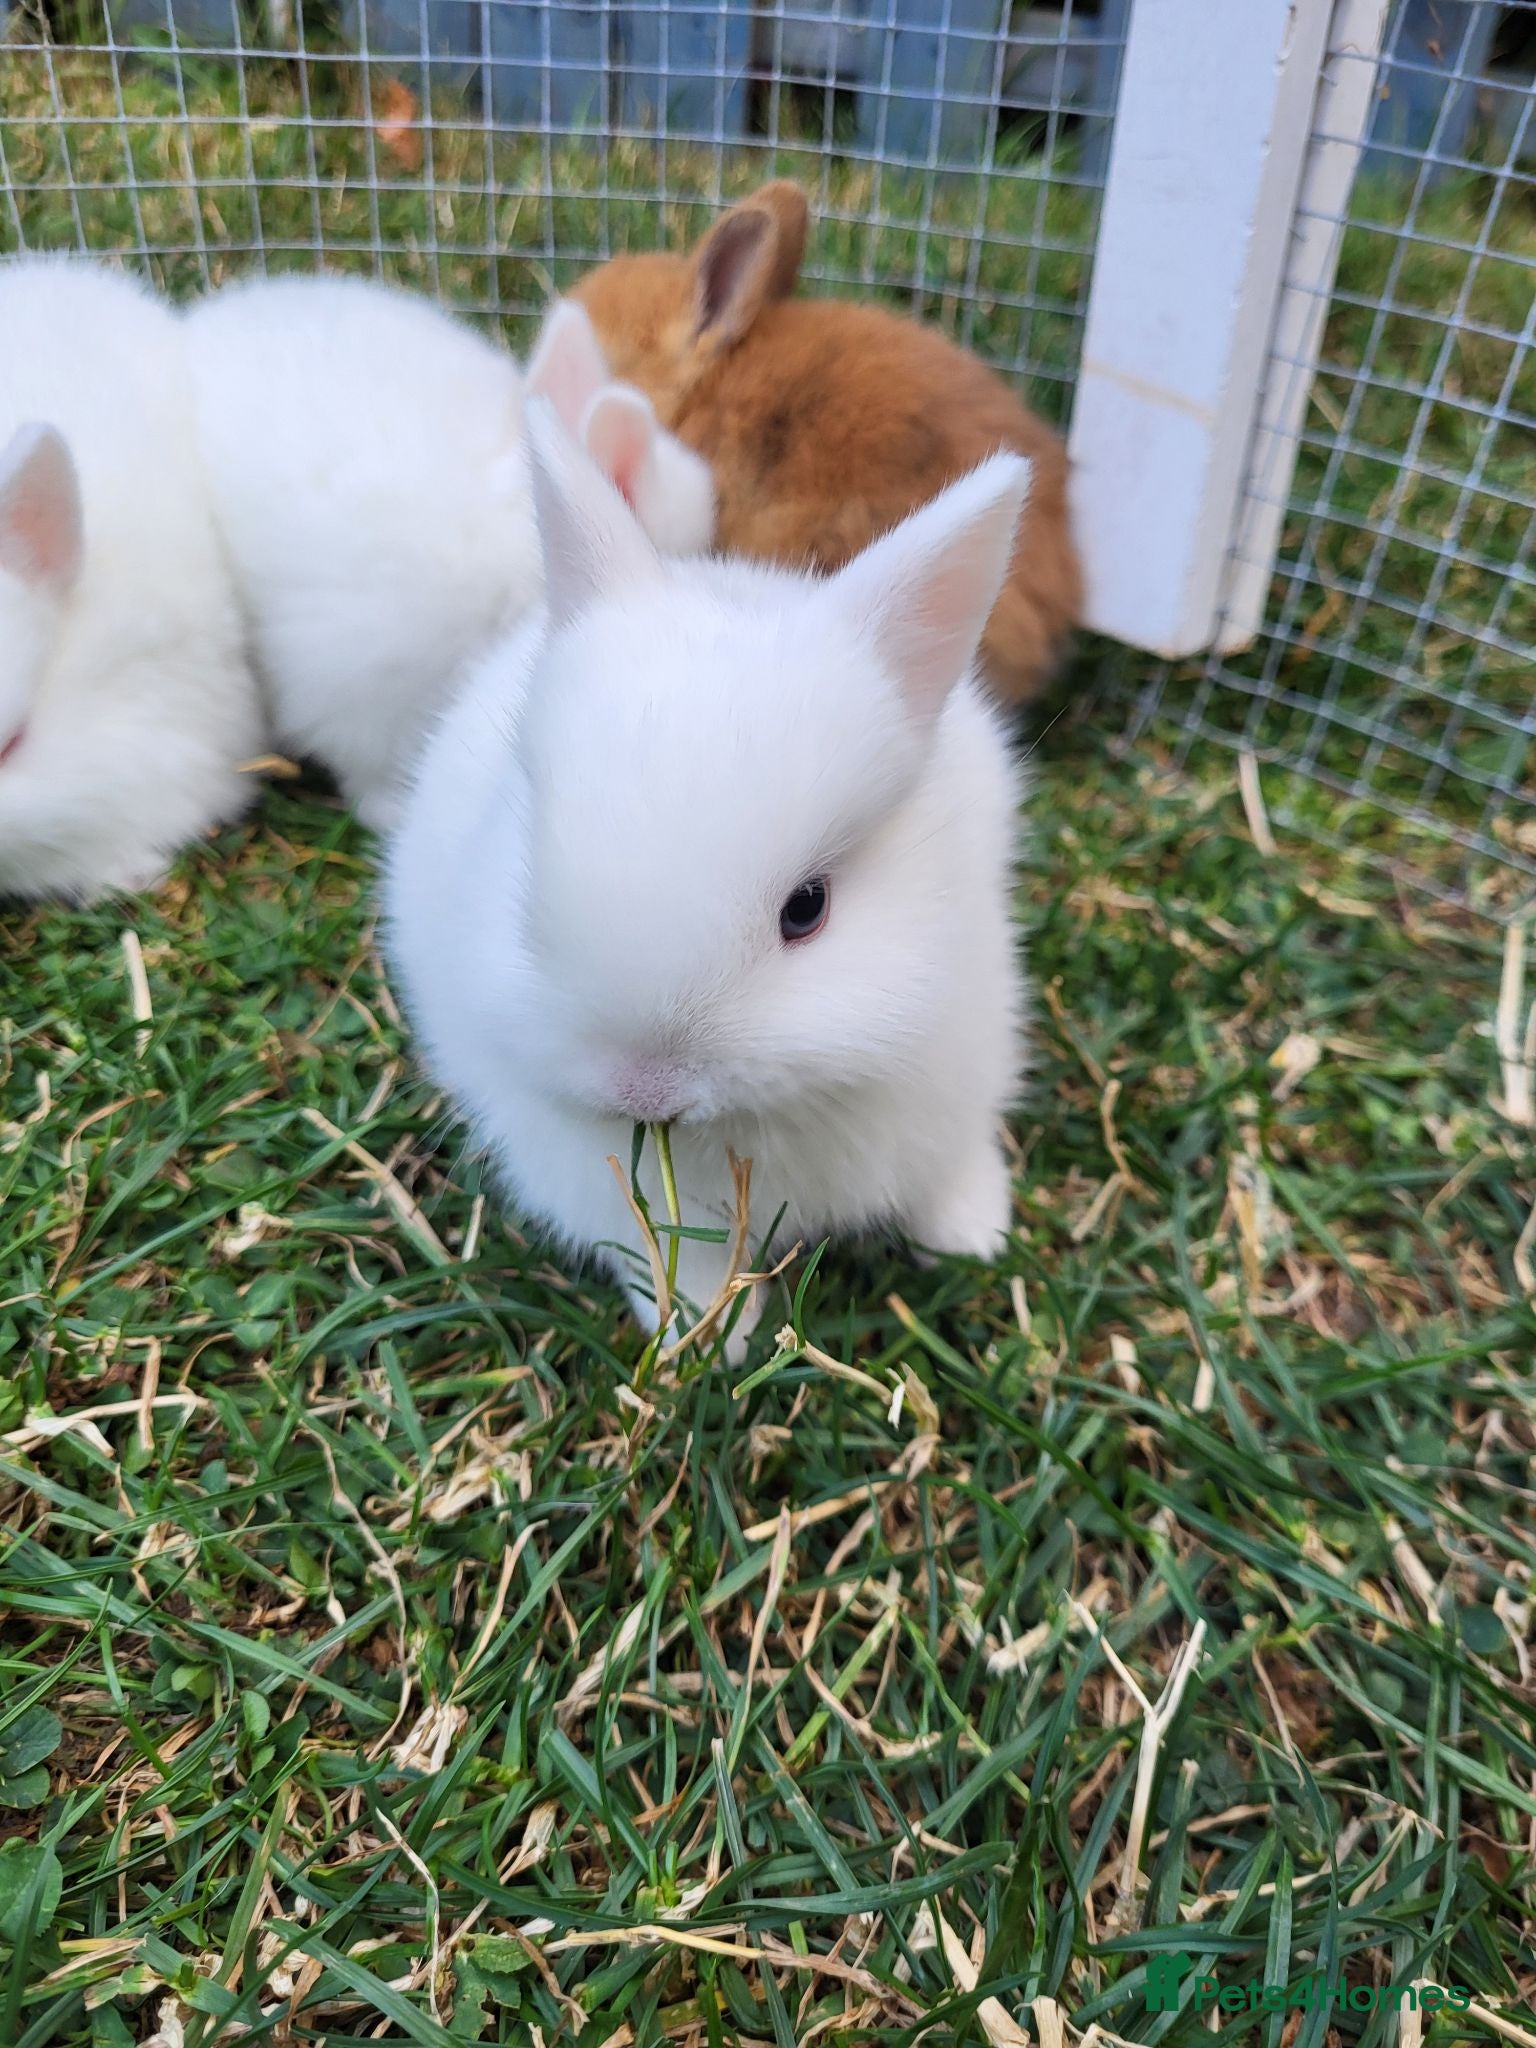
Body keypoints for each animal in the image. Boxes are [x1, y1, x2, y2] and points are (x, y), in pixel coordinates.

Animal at [384, 401, 1031, 1352]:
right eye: (528, 879)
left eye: (808, 909)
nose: (644, 1087)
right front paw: (709, 1340)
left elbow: (949, 1167)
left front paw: (975, 1237)